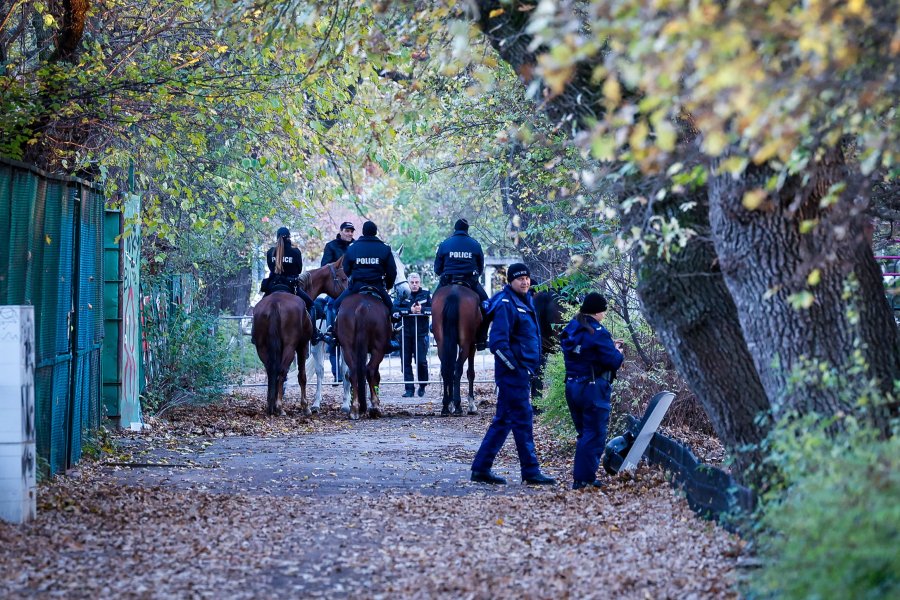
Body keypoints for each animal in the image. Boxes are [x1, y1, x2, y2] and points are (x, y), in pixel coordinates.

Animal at [255, 258, 350, 418]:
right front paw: (305, 406)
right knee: (283, 371)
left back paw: (271, 406)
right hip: (291, 346)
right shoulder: (303, 346)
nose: (348, 296)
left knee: (271, 371)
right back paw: (280, 407)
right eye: (343, 278)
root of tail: (274, 304)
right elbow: (303, 376)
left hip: (262, 347)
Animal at [430, 286, 482, 418]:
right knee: (457, 369)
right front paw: (471, 405)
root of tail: (454, 292)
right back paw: (458, 406)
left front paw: (450, 404)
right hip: (466, 343)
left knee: (446, 370)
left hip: (441, 343)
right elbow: (470, 373)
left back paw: (445, 407)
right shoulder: (472, 345)